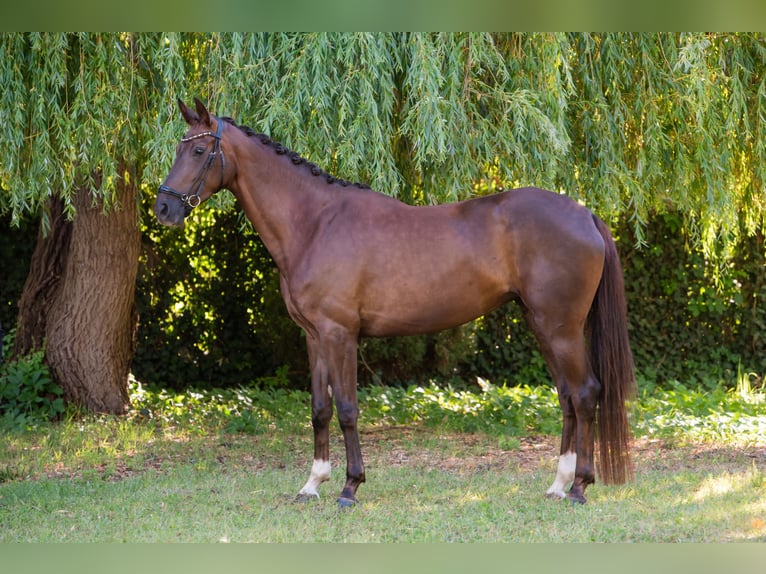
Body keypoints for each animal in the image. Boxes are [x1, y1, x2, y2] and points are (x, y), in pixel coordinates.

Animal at [155, 98, 635, 507]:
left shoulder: (340, 334)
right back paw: (557, 484)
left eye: (198, 150)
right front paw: (312, 483)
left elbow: (347, 408)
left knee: (586, 393)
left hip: (562, 327)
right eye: (181, 148)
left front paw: (350, 487)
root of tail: (585, 214)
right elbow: (320, 408)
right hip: (542, 324)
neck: (315, 222)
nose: (163, 208)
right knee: (567, 396)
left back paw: (579, 487)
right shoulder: (314, 336)